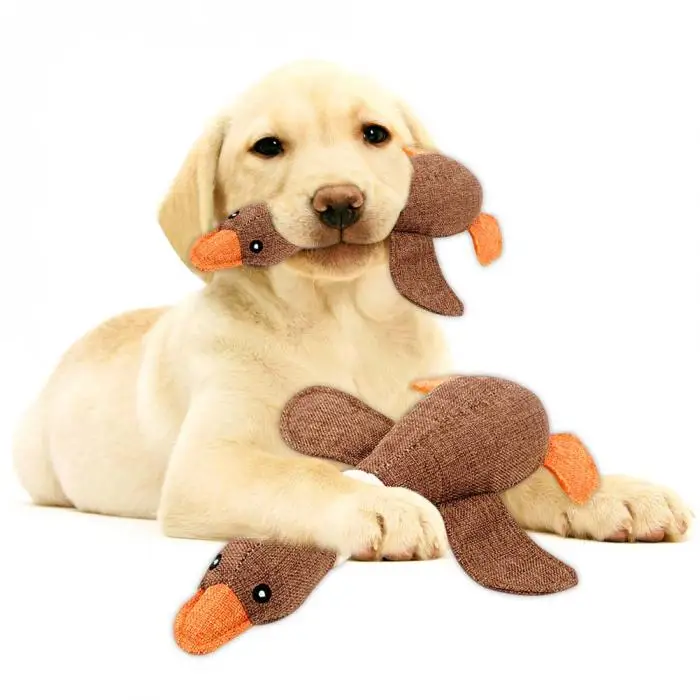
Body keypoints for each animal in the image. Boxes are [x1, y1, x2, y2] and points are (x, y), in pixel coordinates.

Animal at [13, 61, 691, 558]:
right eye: (267, 147)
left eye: (374, 135)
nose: (339, 201)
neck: (340, 321)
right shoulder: (209, 465)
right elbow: (303, 474)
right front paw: (380, 503)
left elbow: (529, 470)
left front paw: (614, 493)